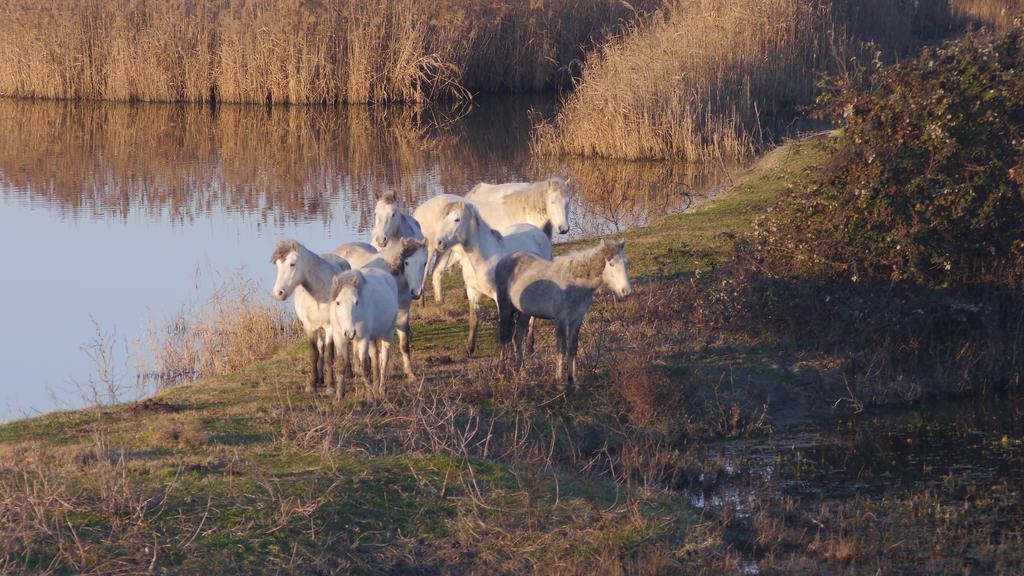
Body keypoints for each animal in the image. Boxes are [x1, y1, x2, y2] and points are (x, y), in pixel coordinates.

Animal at [272, 237, 352, 389]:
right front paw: (312, 383)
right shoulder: (308, 326)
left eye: (292, 264)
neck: (317, 294)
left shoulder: (330, 326)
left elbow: (329, 355)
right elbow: (314, 353)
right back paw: (320, 378)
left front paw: (331, 386)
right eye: (277, 265)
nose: (278, 293)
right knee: (320, 346)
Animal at [333, 235, 425, 379]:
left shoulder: (402, 314)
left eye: (424, 263)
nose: (416, 292)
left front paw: (410, 374)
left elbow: (404, 344)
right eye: (406, 263)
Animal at [333, 268, 401, 399]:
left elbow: (364, 368)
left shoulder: (363, 339)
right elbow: (341, 366)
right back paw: (375, 385)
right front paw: (339, 395)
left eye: (356, 302)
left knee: (384, 359)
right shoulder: (339, 339)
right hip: (372, 338)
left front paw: (370, 396)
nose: (350, 333)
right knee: (375, 358)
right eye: (337, 303)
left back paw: (381, 389)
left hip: (388, 332)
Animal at [438, 200, 557, 354]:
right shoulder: (472, 292)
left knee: (532, 316)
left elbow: (502, 326)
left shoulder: (498, 296)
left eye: (457, 219)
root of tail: (541, 233)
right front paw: (469, 349)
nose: (439, 242)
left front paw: (504, 353)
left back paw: (530, 345)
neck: (483, 258)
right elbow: (474, 320)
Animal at [495, 237, 630, 389]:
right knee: (504, 337)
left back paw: (521, 370)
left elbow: (573, 347)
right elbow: (561, 349)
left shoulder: (577, 319)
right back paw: (502, 372)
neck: (576, 283)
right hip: (505, 307)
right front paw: (559, 381)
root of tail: (505, 259)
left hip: (525, 312)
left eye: (626, 263)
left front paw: (572, 380)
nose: (626, 291)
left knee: (517, 337)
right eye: (611, 264)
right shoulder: (561, 319)